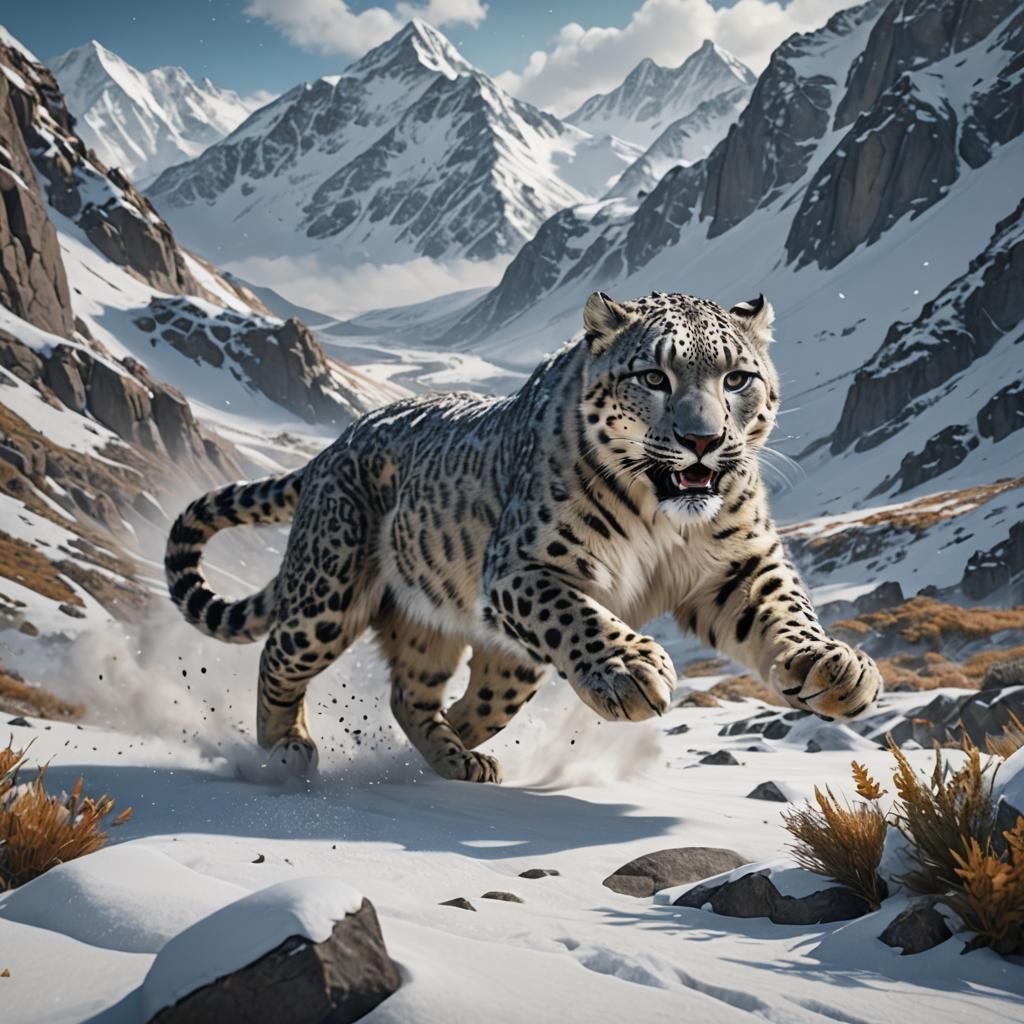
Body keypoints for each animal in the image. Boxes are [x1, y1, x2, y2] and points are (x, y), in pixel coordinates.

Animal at [165, 290, 883, 783]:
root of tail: (336, 443)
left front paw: (832, 666)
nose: (703, 439)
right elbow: (579, 615)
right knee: (280, 654)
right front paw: (631, 670)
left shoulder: (740, 563)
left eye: (737, 378)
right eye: (654, 377)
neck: (662, 518)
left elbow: (785, 611)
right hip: (330, 589)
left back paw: (453, 757)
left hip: (474, 648)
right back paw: (285, 750)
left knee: (428, 696)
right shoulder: (523, 567)